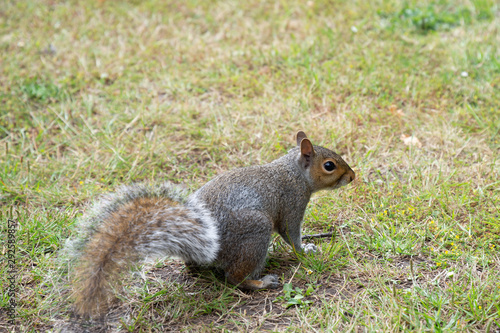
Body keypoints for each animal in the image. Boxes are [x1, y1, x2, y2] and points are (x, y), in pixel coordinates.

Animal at [65, 130, 356, 316]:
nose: (352, 176)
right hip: (255, 231)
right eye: (329, 165)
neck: (294, 173)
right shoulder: (292, 205)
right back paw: (261, 282)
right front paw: (305, 251)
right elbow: (291, 235)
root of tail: (202, 250)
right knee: (235, 278)